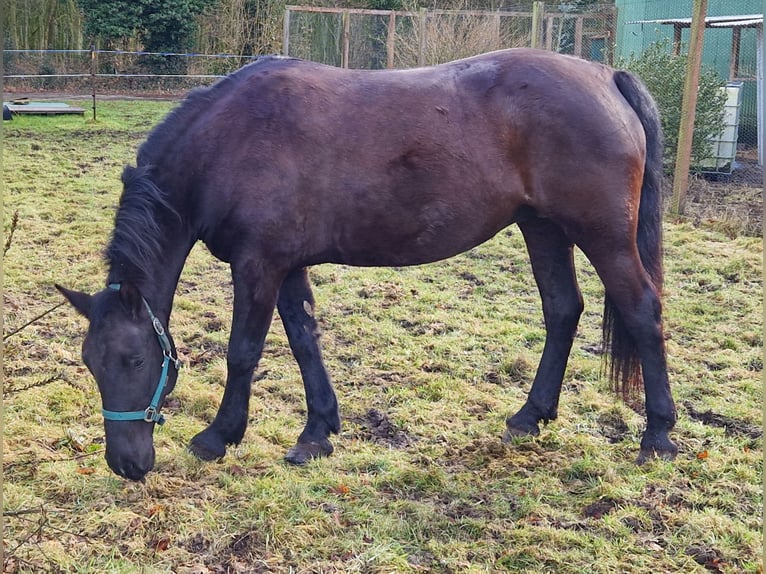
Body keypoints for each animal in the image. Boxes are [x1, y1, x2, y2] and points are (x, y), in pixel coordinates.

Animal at [57, 48, 678, 481]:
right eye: (91, 363)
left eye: (135, 360)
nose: (126, 464)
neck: (230, 140)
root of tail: (606, 77)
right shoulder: (286, 265)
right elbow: (305, 341)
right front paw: (317, 433)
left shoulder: (258, 265)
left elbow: (244, 352)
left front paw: (219, 436)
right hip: (543, 228)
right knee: (562, 310)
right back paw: (530, 416)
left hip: (602, 237)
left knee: (642, 312)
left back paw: (659, 437)